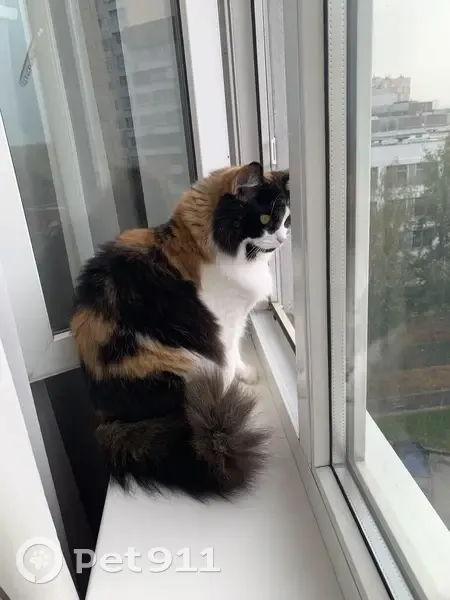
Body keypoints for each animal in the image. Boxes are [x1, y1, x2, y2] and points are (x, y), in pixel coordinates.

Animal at [71, 161, 290, 499]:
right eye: (266, 219)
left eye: (287, 219)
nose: (283, 239)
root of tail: (108, 417)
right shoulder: (222, 323)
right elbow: (228, 357)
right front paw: (230, 389)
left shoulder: (237, 321)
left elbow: (236, 353)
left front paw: (245, 374)